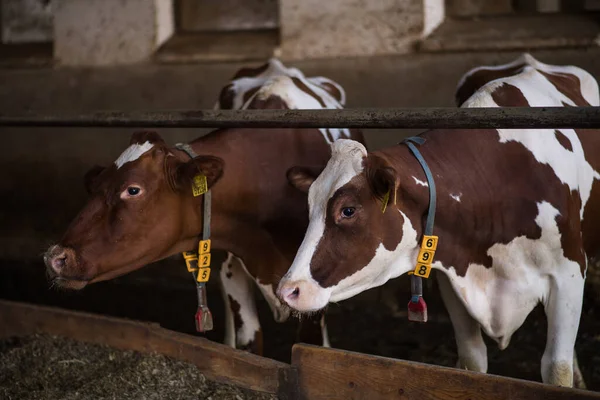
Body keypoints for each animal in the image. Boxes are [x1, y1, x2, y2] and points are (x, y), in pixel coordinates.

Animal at [278, 53, 596, 388]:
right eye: (310, 205)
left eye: (348, 210)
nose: (288, 290)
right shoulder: (453, 277)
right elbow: (472, 359)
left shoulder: (569, 273)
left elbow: (556, 368)